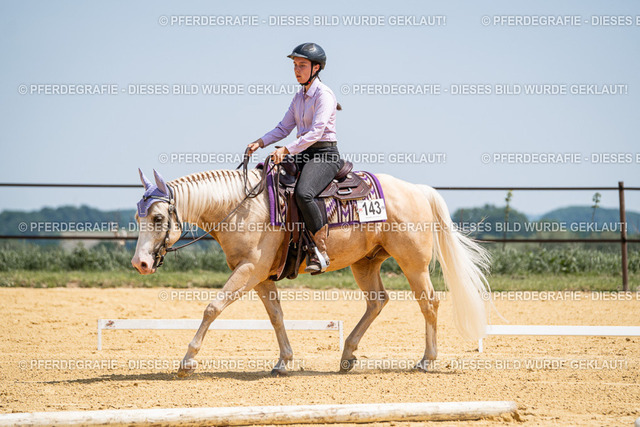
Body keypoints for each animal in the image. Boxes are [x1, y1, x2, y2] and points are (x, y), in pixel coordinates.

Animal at [131, 167, 490, 377]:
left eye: (159, 218)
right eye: (138, 218)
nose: (140, 263)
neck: (242, 207)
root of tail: (418, 190)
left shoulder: (249, 270)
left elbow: (212, 307)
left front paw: (187, 361)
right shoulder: (260, 277)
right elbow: (276, 316)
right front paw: (283, 362)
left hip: (412, 264)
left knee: (428, 303)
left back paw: (427, 360)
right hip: (365, 263)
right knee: (377, 301)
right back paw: (347, 356)